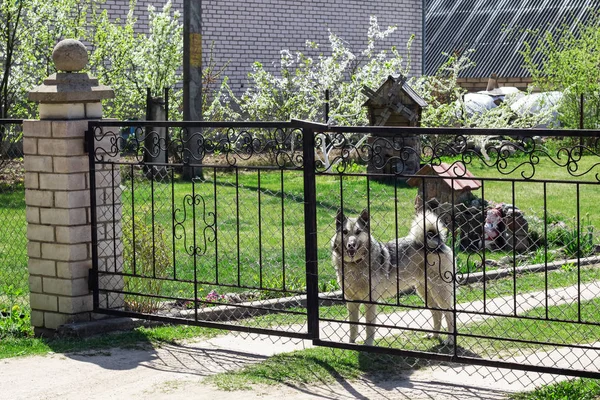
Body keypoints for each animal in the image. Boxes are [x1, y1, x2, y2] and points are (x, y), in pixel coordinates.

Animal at [330, 209, 452, 346]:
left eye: (358, 232)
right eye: (345, 232)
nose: (351, 245)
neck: (355, 264)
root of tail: (436, 243)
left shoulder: (370, 302)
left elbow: (369, 327)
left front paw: (368, 345)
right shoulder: (351, 301)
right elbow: (353, 326)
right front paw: (351, 343)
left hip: (439, 292)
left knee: (449, 314)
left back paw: (450, 340)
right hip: (424, 291)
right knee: (437, 312)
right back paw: (434, 335)